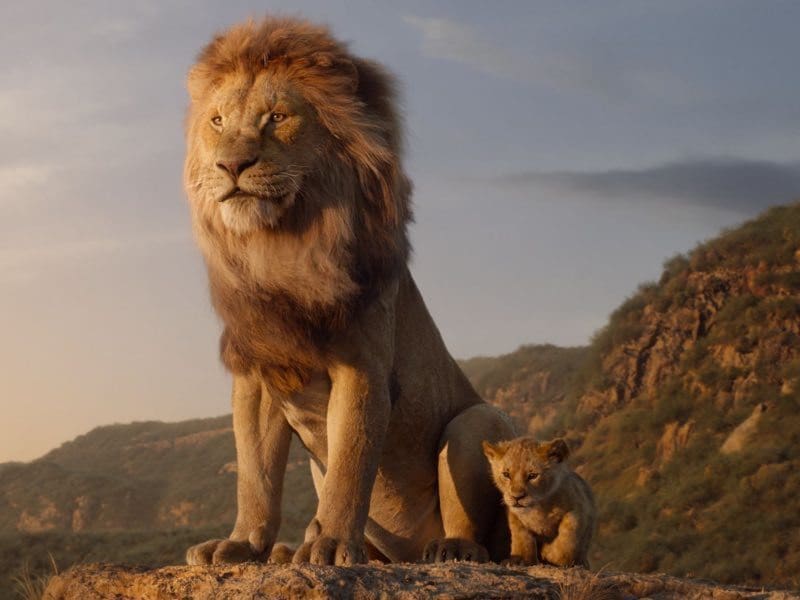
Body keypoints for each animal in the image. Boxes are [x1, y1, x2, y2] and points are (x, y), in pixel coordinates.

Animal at [182, 16, 515, 566]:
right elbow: (255, 475)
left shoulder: (362, 367)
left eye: (277, 117)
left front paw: (333, 544)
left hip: (477, 422)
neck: (280, 249)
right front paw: (242, 544)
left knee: (480, 534)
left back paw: (449, 549)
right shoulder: (257, 374)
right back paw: (287, 551)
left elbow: (350, 465)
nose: (231, 166)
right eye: (217, 121)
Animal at [482, 437, 596, 568]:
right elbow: (521, 537)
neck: (538, 507)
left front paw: (551, 554)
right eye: (506, 474)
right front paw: (520, 559)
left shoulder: (578, 507)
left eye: (532, 476)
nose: (517, 497)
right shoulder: (515, 516)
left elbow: (568, 536)